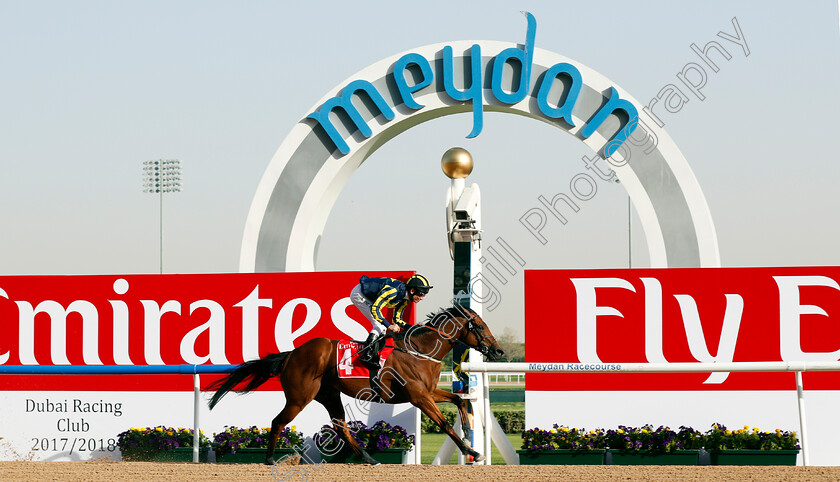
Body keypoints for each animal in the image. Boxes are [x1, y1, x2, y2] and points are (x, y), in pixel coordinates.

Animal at [206, 306, 502, 466]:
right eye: (480, 325)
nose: (498, 351)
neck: (420, 350)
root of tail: (292, 354)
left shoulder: (428, 392)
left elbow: (459, 400)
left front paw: (467, 431)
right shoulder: (419, 397)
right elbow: (443, 423)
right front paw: (472, 451)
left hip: (328, 394)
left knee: (340, 425)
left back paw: (369, 458)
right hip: (299, 397)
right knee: (278, 421)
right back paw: (268, 459)